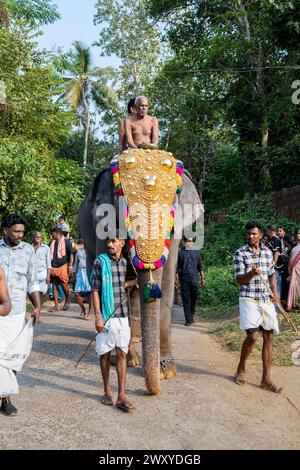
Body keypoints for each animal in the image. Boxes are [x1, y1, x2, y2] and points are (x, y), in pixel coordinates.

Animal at [78, 148, 203, 392]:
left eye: (172, 201)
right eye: (124, 201)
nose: (154, 390)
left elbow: (166, 284)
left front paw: (166, 371)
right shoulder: (101, 224)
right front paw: (125, 360)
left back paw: (136, 339)